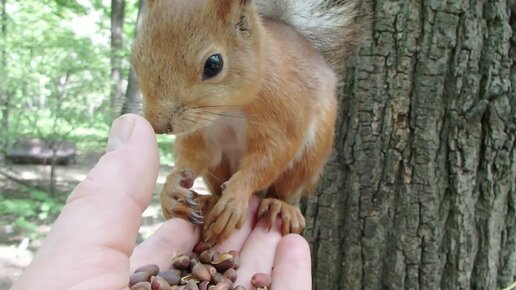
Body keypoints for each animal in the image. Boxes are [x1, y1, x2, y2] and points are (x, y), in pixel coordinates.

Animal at [131, 0, 360, 245]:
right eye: (136, 57)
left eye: (214, 64)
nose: (158, 126)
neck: (226, 110)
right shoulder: (200, 132)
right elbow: (194, 156)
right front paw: (171, 188)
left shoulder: (282, 116)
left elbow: (269, 157)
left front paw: (235, 197)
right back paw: (209, 199)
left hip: (311, 156)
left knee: (289, 186)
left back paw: (281, 206)